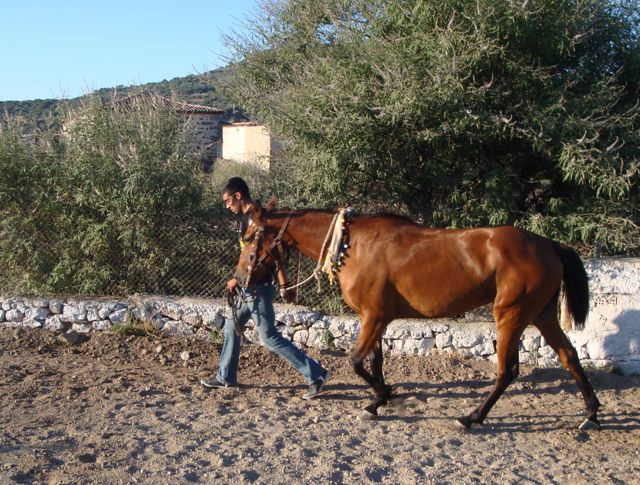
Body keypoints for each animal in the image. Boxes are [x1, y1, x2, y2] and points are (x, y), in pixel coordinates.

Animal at [235, 198, 600, 428]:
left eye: (251, 236)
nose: (239, 280)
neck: (354, 244)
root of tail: (548, 244)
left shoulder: (373, 317)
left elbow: (356, 362)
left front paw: (385, 396)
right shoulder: (377, 318)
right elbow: (375, 362)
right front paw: (376, 402)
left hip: (511, 316)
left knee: (507, 371)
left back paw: (472, 417)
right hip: (542, 315)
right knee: (569, 356)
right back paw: (591, 414)